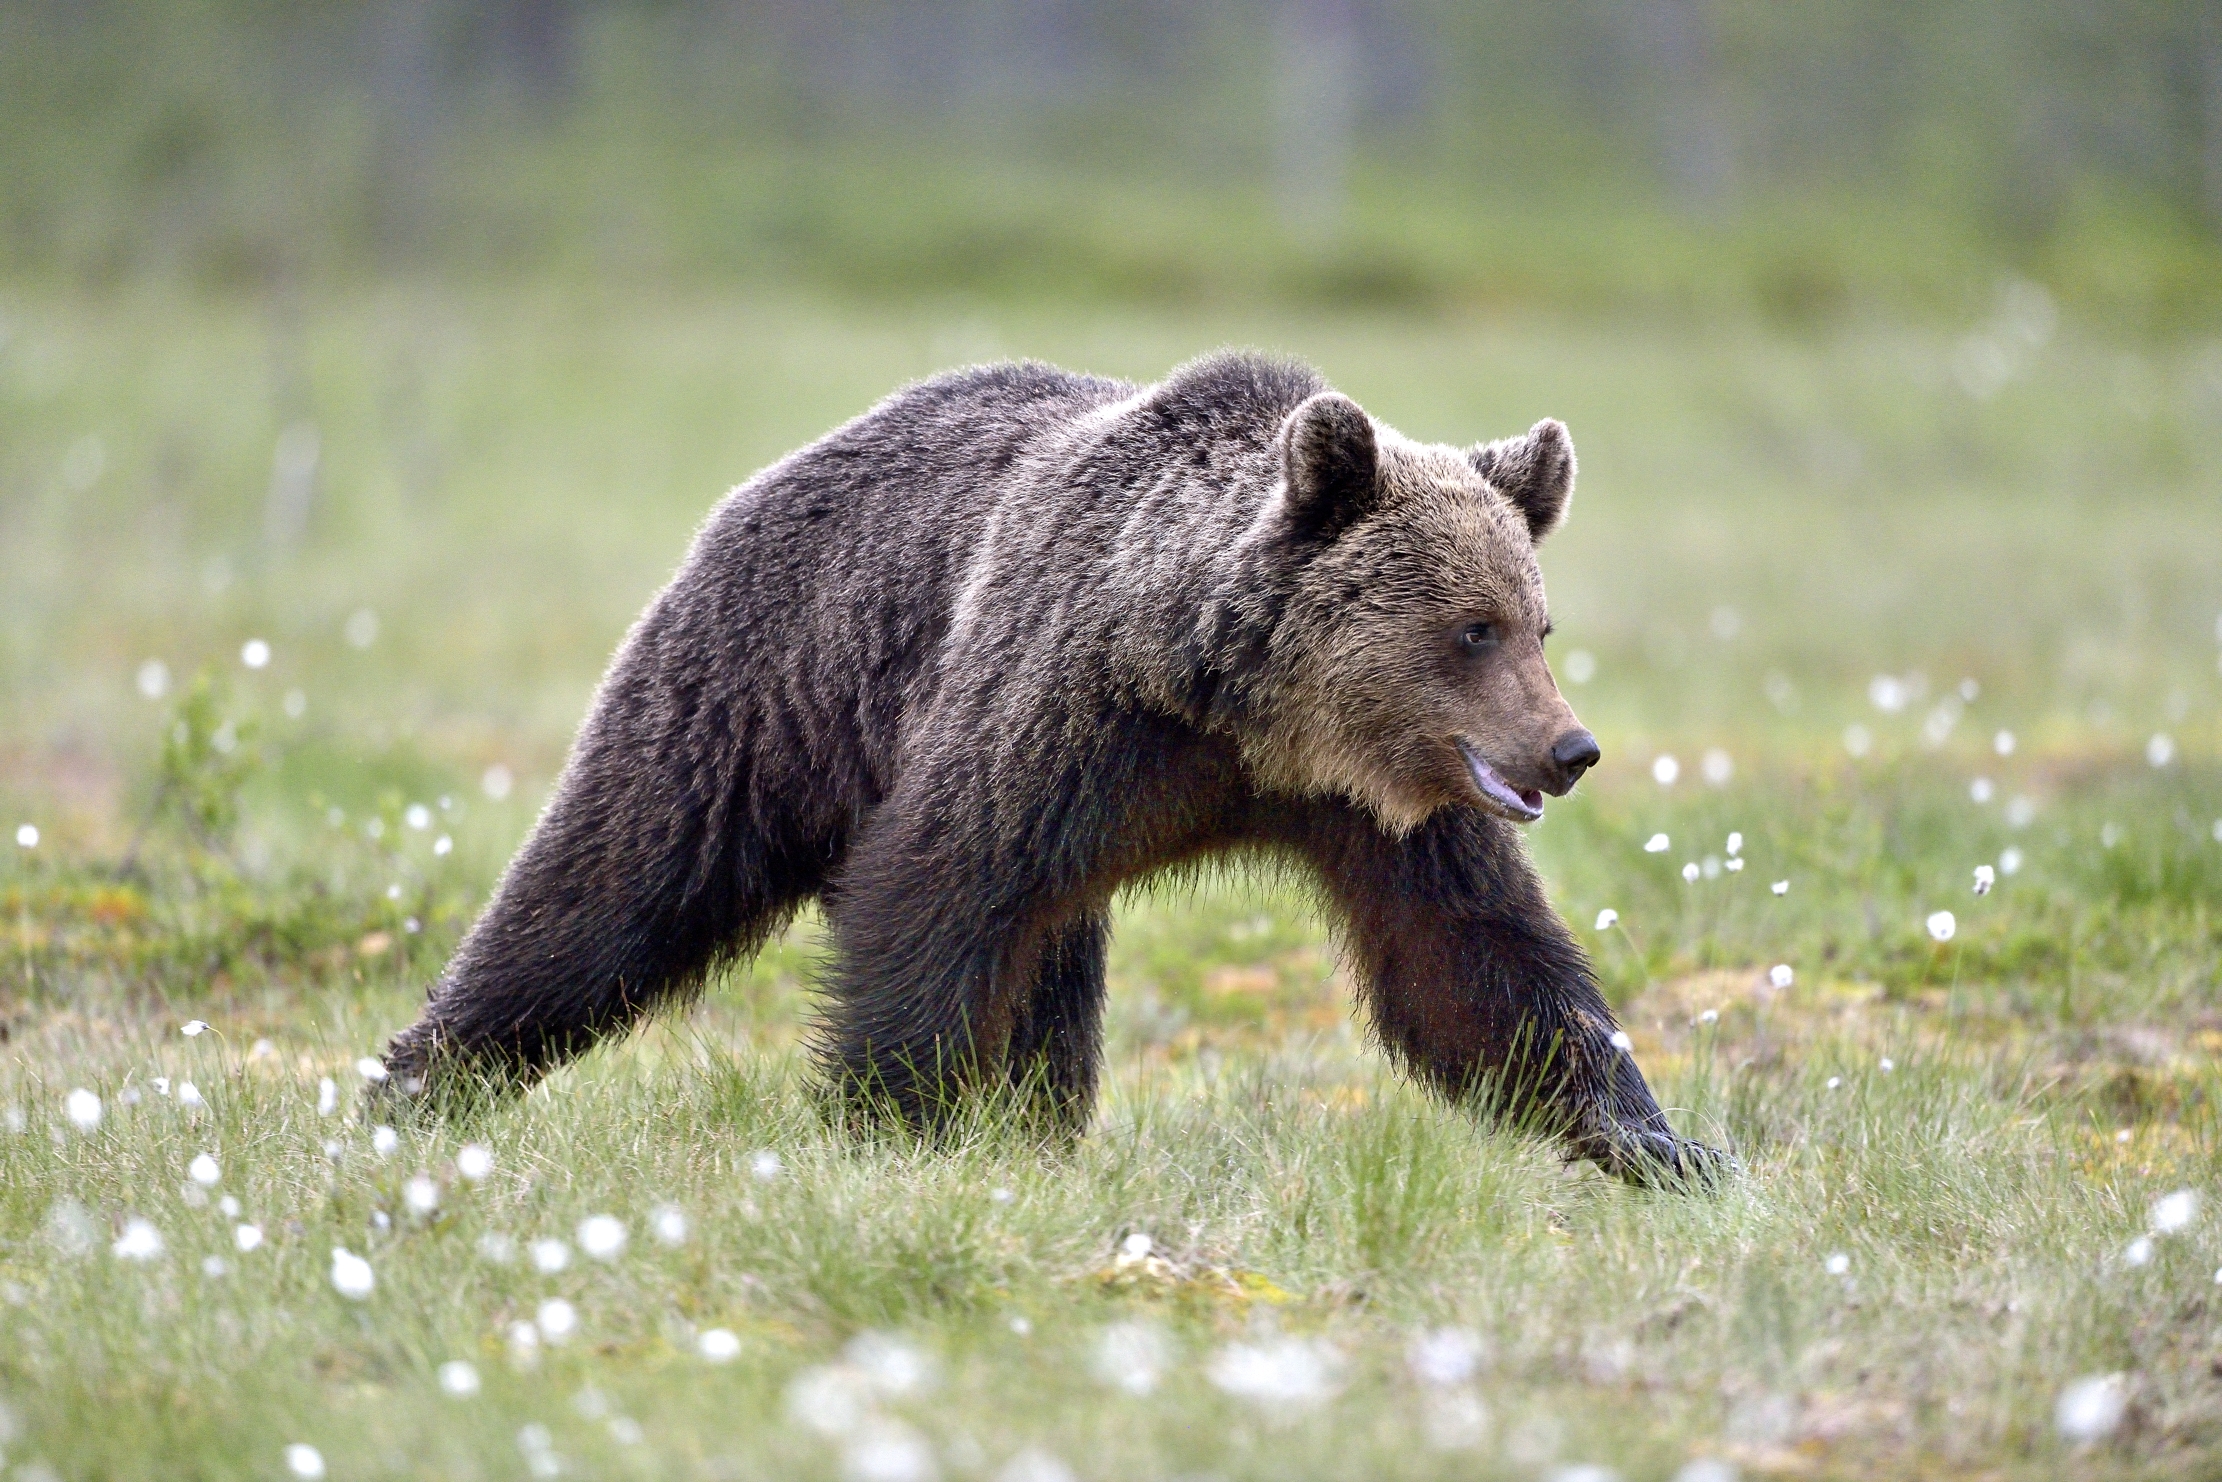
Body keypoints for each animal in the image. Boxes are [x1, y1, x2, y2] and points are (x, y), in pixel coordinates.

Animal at [379, 351, 1727, 1187]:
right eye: (1471, 628)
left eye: (1536, 621)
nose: (1566, 750)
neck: (1237, 708)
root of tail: (783, 465)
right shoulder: (1060, 716)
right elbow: (934, 891)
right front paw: (894, 1123)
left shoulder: (1377, 806)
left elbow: (1469, 961)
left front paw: (1664, 1147)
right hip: (759, 686)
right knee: (613, 886)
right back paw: (421, 1078)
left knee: (1052, 975)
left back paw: (1033, 1132)